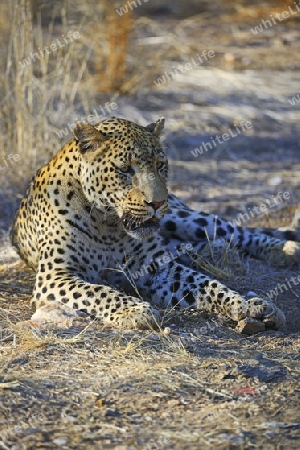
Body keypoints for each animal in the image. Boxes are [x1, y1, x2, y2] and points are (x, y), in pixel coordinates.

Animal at [9, 117, 300, 330]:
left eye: (161, 165)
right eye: (124, 170)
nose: (158, 203)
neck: (108, 225)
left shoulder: (157, 268)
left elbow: (206, 284)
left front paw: (249, 305)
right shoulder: (55, 277)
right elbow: (98, 291)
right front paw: (135, 310)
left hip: (186, 219)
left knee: (233, 230)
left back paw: (284, 249)